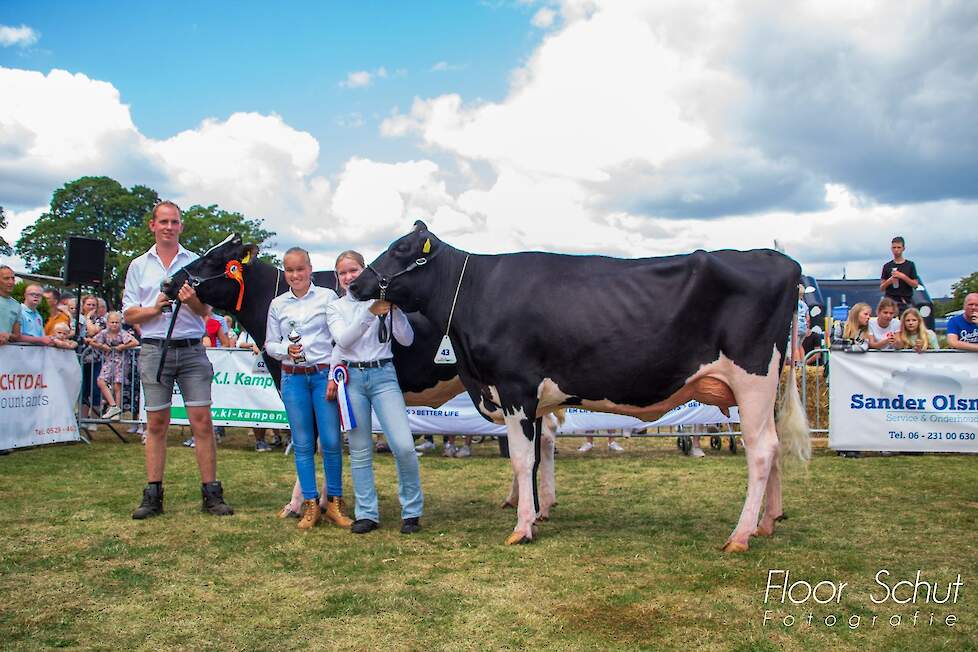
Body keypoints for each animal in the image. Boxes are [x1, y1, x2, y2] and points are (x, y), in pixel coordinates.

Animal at [350, 220, 808, 552]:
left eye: (400, 249)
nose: (354, 283)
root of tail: (783, 261)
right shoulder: (527, 399)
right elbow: (533, 458)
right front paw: (535, 514)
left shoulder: (515, 388)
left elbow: (521, 459)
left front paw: (522, 528)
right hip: (766, 388)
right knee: (773, 446)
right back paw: (767, 523)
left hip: (753, 380)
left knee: (761, 450)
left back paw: (740, 536)